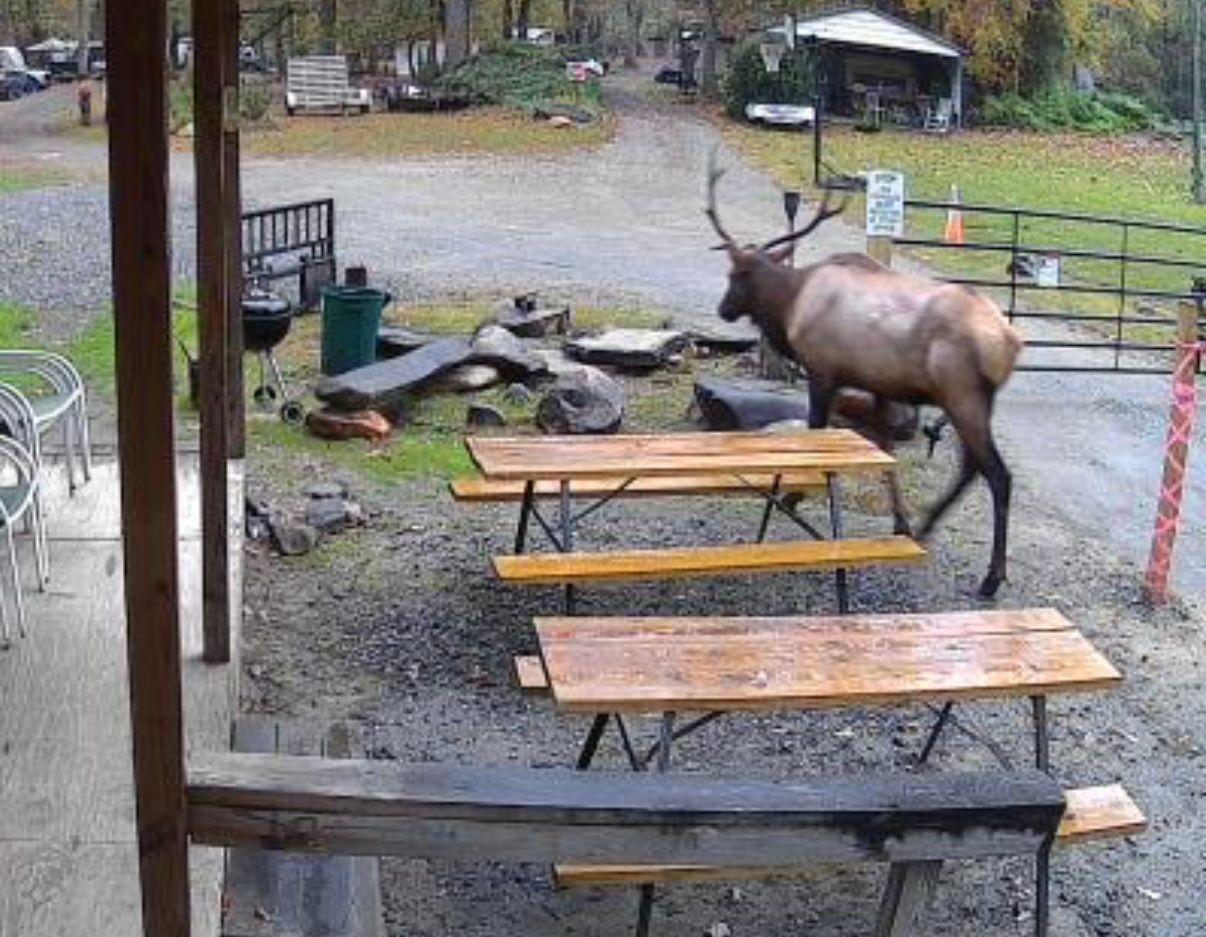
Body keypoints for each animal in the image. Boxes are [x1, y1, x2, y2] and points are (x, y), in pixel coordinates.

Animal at [705, 159, 1024, 598]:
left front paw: (794, 494)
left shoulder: (823, 372)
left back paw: (992, 577)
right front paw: (900, 522)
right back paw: (927, 525)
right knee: (971, 468)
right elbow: (885, 449)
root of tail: (1010, 343)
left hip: (963, 395)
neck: (790, 307)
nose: (722, 309)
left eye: (735, 275)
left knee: (997, 474)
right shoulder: (878, 385)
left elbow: (817, 434)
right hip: (973, 402)